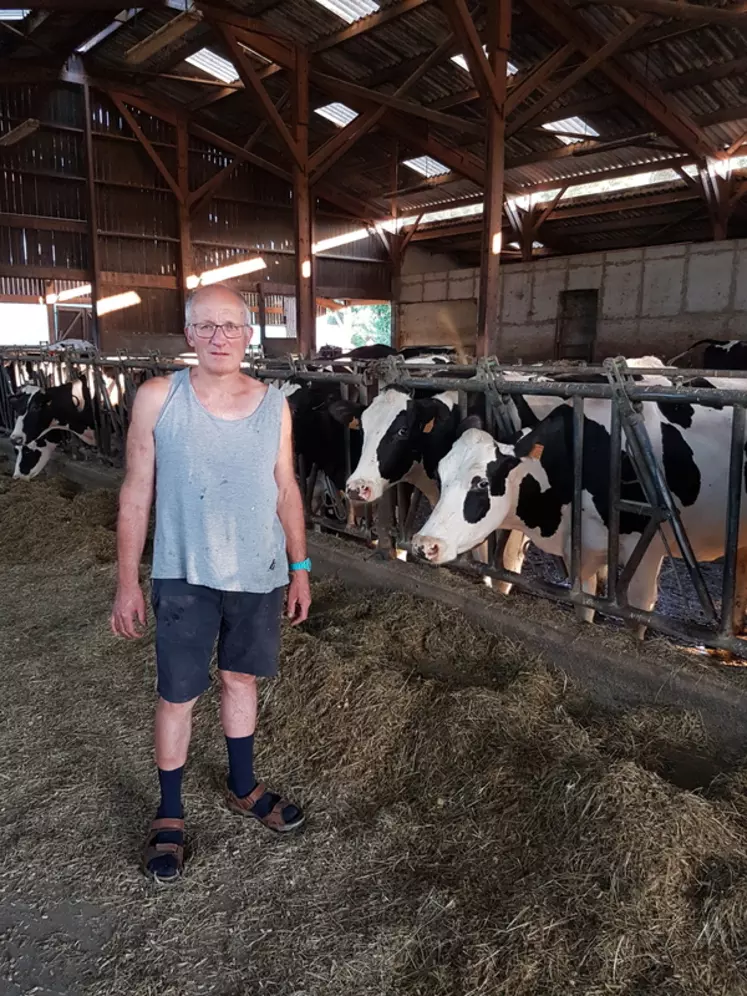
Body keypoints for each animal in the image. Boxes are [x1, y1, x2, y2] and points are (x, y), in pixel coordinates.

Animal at [412, 378, 747, 636]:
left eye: (481, 483)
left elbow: (638, 620)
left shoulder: (646, 554)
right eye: (440, 474)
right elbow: (584, 610)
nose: (424, 544)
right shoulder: (581, 554)